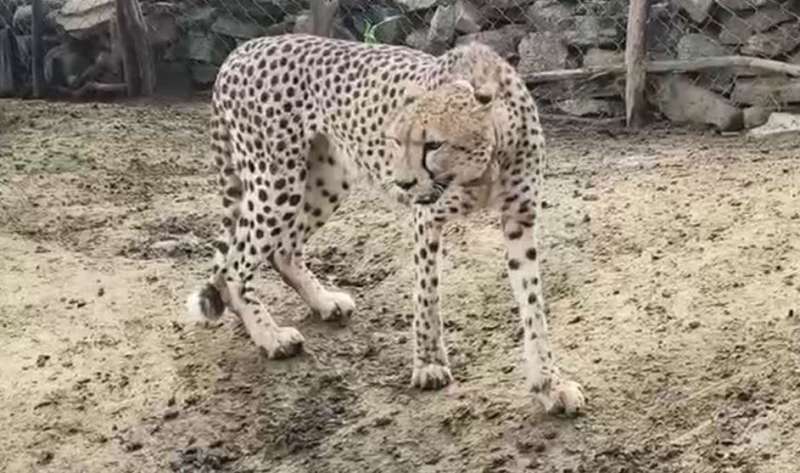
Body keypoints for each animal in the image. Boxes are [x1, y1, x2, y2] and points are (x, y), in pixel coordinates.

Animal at [185, 33, 586, 416]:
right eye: (395, 140)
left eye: (433, 144)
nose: (404, 183)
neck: (485, 166)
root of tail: (244, 49)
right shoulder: (427, 219)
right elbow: (427, 296)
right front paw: (428, 365)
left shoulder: (520, 218)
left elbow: (533, 305)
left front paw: (549, 384)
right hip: (276, 182)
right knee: (235, 264)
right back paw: (270, 336)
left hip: (326, 180)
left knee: (280, 251)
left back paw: (323, 302)